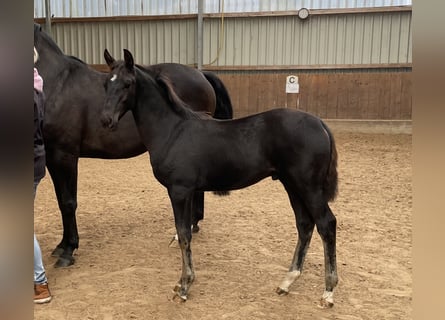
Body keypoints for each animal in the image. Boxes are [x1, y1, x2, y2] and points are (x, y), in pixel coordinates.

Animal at [32, 23, 232, 268]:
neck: (57, 83)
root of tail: (201, 74)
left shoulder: (65, 155)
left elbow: (68, 202)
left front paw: (69, 250)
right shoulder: (51, 157)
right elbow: (61, 202)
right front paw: (62, 245)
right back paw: (192, 225)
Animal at [99, 49, 336, 308]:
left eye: (128, 83)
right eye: (106, 83)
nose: (106, 120)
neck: (173, 130)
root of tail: (320, 123)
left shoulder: (179, 190)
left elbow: (183, 234)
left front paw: (184, 286)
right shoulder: (188, 191)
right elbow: (186, 233)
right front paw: (183, 282)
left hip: (309, 187)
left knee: (326, 224)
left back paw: (328, 292)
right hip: (292, 185)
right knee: (305, 225)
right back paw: (287, 281)